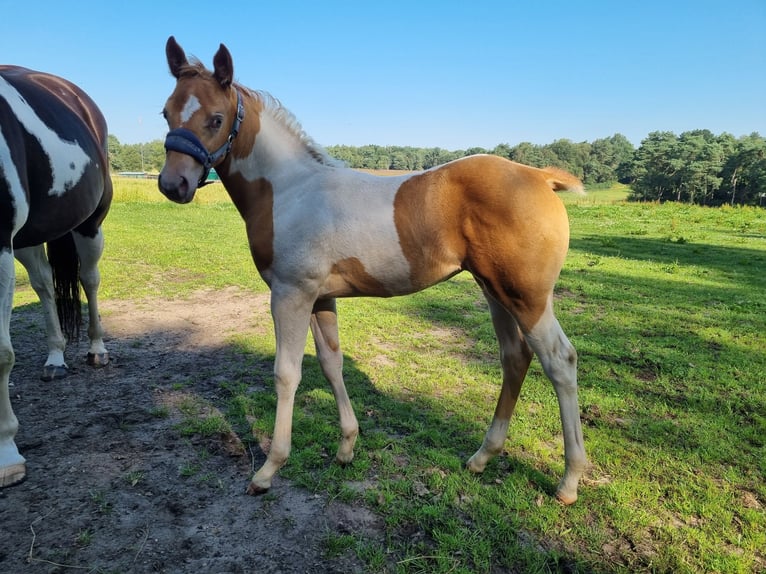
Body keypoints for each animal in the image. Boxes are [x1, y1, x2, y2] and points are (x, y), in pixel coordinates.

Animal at [0, 67, 112, 490]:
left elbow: (1, 353)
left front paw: (7, 454)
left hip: (89, 225)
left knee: (89, 280)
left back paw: (96, 349)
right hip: (29, 238)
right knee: (46, 287)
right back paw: (55, 357)